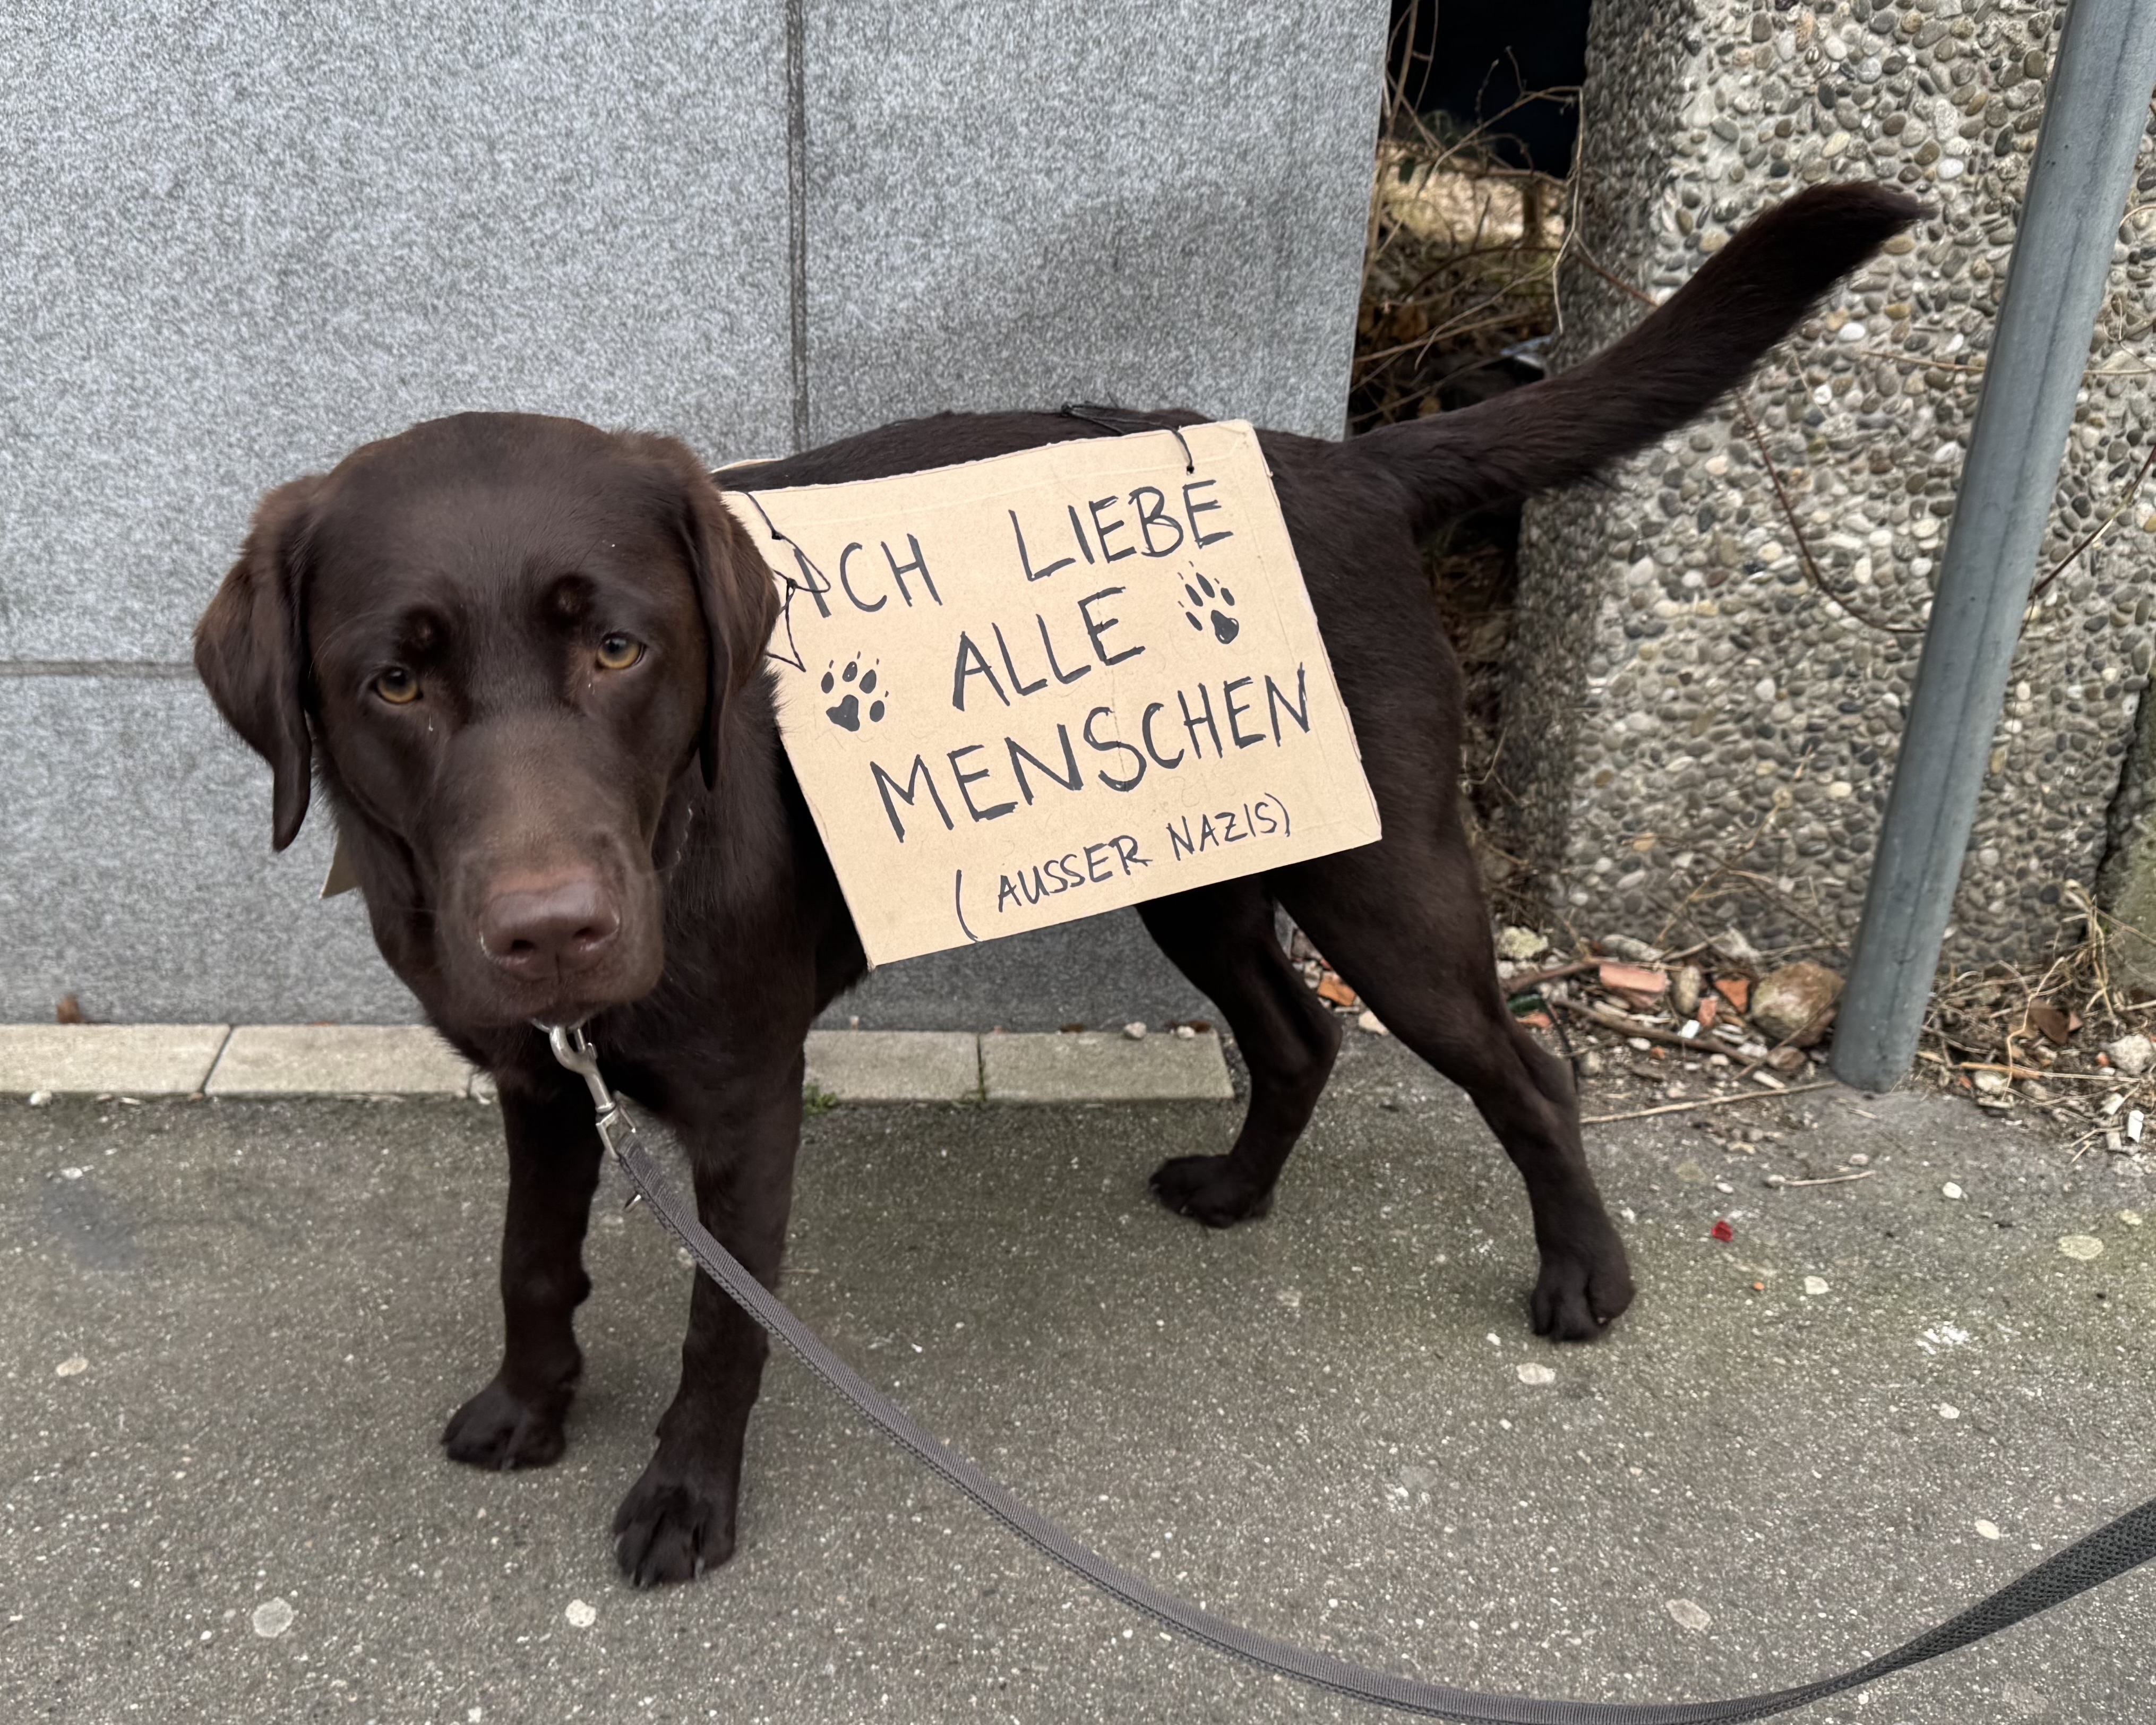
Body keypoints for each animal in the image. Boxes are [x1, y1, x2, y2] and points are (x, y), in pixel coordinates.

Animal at [198, 182, 1923, 1587]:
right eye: (392, 683)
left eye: (620, 647)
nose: (554, 933)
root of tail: (1349, 462)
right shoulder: (542, 1085)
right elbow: (532, 1264)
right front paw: (527, 1407)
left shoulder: (748, 1099)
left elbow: (720, 1325)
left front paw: (685, 1501)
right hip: (1206, 873)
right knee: (1300, 1035)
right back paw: (1238, 1191)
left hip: (1378, 881)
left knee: (1524, 1065)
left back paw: (1586, 1275)